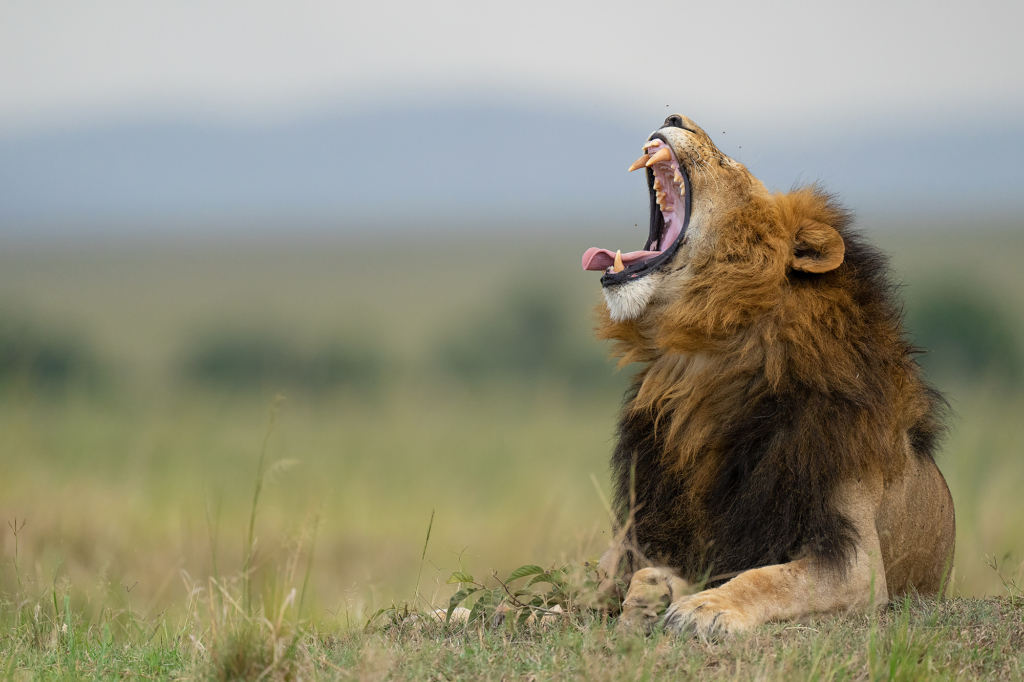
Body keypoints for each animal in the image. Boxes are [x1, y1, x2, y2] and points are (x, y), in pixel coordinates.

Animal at [581, 115, 954, 630]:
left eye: (728, 162)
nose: (674, 118)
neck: (703, 362)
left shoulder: (857, 561)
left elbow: (770, 578)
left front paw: (702, 606)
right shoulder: (647, 525)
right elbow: (601, 575)